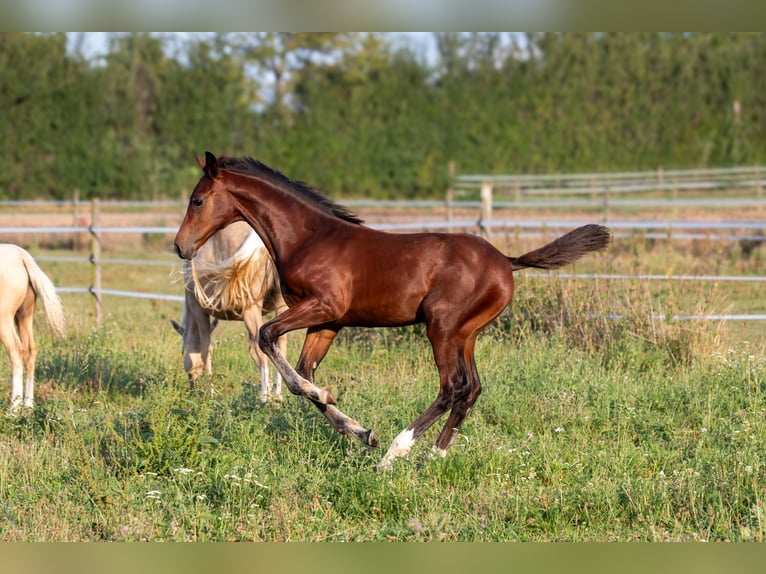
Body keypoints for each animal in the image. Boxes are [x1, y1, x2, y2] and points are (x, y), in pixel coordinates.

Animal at [0, 243, 65, 414]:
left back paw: (14, 409)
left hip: (5, 319)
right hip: (24, 316)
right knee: (30, 351)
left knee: (16, 351)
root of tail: (22, 256)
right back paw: (28, 406)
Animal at [172, 220, 290, 400]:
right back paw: (278, 396)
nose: (192, 388)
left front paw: (210, 393)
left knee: (258, 351)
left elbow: (206, 350)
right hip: (280, 303)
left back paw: (264, 397)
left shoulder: (199, 310)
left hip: (251, 311)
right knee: (280, 346)